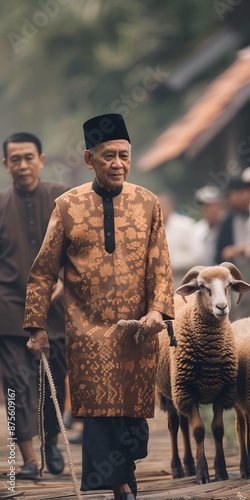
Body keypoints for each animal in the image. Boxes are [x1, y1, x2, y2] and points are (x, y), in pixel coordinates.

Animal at [156, 262, 250, 484]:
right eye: (201, 286)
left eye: (229, 284)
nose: (221, 307)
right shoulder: (188, 392)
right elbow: (198, 431)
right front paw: (203, 474)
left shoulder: (221, 392)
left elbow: (217, 430)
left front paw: (221, 471)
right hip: (170, 390)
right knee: (174, 424)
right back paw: (178, 468)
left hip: (179, 393)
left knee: (183, 424)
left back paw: (189, 465)